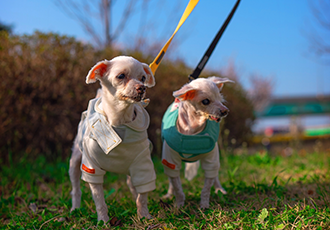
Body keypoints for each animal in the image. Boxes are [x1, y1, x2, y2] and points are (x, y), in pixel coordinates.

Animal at [68, 54, 156, 222]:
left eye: (143, 78)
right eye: (121, 76)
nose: (141, 87)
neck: (119, 120)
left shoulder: (143, 166)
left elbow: (142, 197)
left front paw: (144, 216)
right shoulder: (91, 167)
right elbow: (99, 200)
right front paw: (103, 221)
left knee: (133, 186)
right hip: (75, 161)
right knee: (75, 188)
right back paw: (75, 208)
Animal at [161, 77, 233, 208]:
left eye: (220, 99)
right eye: (205, 101)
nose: (225, 111)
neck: (193, 130)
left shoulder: (211, 160)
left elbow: (207, 188)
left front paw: (204, 205)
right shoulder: (170, 160)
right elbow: (177, 187)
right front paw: (179, 205)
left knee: (215, 176)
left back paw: (219, 190)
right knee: (171, 180)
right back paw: (169, 194)